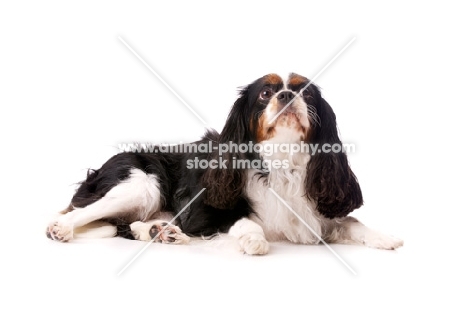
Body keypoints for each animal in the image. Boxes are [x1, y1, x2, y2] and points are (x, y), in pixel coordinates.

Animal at [46, 74, 402, 255]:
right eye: (266, 93)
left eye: (306, 92)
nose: (287, 95)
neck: (282, 160)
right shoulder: (206, 212)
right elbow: (240, 221)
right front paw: (254, 240)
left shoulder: (320, 215)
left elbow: (351, 223)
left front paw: (384, 238)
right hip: (141, 183)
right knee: (76, 214)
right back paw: (61, 228)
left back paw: (161, 231)